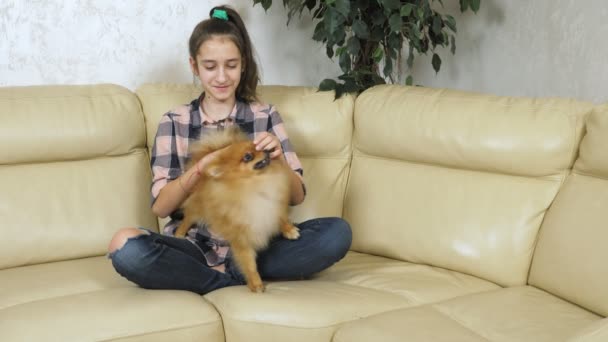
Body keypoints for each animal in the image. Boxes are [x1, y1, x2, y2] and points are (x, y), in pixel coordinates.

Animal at [175, 127, 300, 292]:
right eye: (248, 156)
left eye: (258, 146)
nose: (267, 149)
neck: (255, 184)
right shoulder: (240, 236)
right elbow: (249, 263)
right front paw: (256, 283)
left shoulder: (272, 203)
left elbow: (281, 217)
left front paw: (289, 230)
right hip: (197, 207)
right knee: (188, 218)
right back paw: (179, 233)